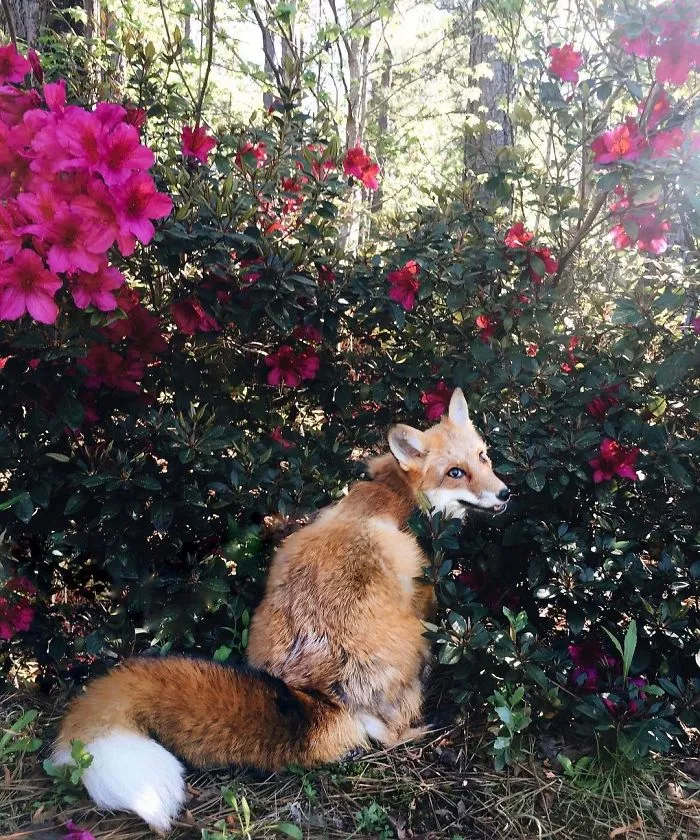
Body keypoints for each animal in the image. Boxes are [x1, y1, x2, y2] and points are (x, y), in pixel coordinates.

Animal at [53, 388, 509, 832]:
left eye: (483, 457)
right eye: (455, 472)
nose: (505, 493)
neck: (395, 493)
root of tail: (320, 695)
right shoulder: (425, 587)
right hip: (410, 644)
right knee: (390, 734)